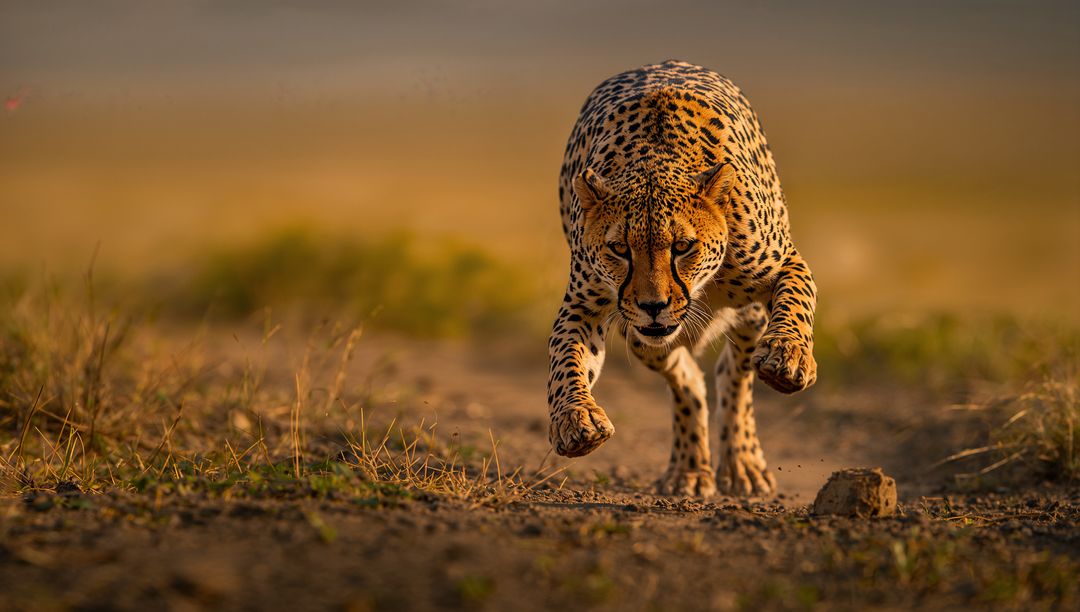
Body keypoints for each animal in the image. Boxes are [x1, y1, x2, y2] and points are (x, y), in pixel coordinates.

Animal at [547, 60, 817, 497]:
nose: (652, 306)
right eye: (619, 248)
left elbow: (795, 302)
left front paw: (788, 357)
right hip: (639, 338)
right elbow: (565, 359)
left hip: (748, 316)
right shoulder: (583, 306)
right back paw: (689, 470)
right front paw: (576, 419)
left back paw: (742, 464)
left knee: (734, 374)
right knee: (687, 379)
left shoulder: (787, 263)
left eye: (683, 246)